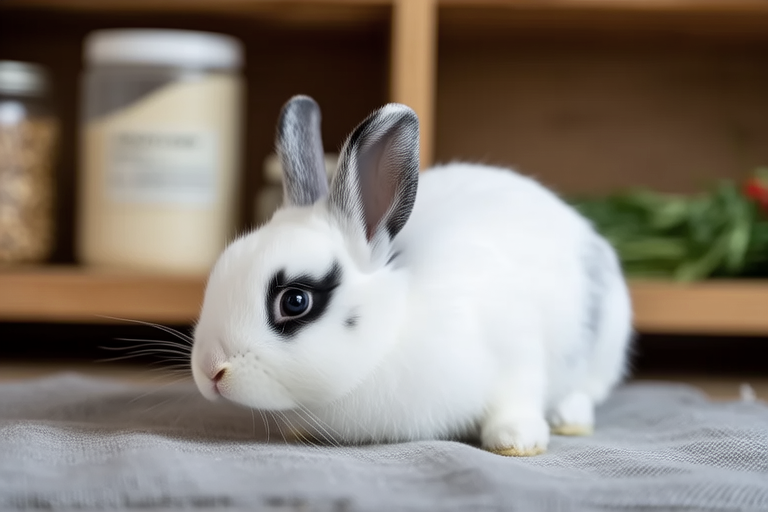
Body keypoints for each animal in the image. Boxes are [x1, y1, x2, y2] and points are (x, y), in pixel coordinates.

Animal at [190, 95, 633, 456]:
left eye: (295, 301)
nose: (211, 370)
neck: (391, 330)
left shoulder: (516, 348)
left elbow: (515, 397)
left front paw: (516, 441)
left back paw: (570, 420)